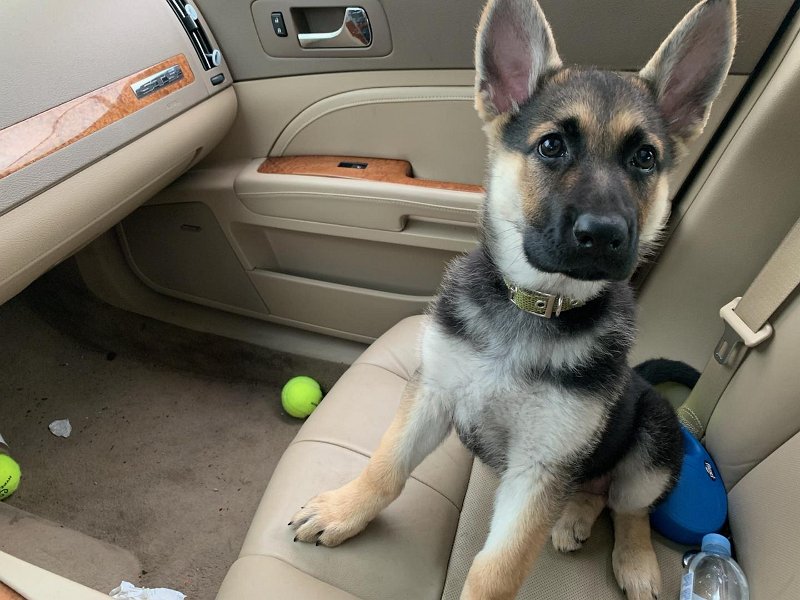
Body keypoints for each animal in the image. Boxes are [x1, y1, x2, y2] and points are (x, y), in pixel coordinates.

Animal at [292, 2, 736, 596]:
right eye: (552, 146)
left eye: (645, 158)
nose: (605, 235)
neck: (534, 307)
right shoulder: (433, 392)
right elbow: (387, 467)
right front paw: (345, 509)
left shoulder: (540, 466)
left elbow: (497, 570)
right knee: (595, 491)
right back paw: (573, 519)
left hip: (655, 440)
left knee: (629, 506)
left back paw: (636, 560)